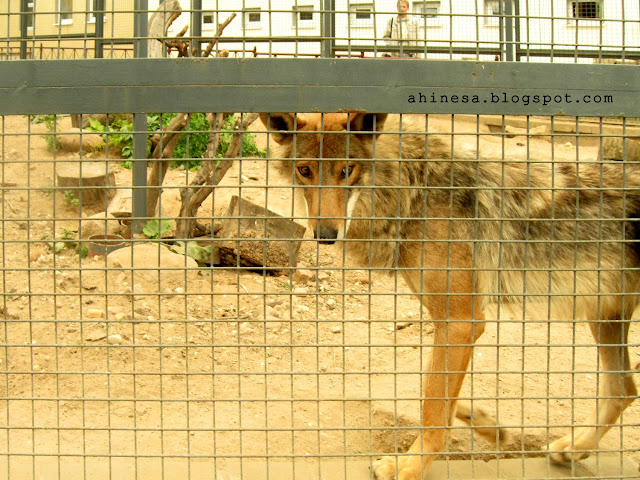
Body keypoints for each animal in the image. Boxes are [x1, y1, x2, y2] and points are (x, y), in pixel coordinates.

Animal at [258, 110, 636, 478]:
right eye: (305, 170)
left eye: (346, 170)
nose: (325, 234)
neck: (414, 188)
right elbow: (437, 396)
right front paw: (486, 424)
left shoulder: (461, 322)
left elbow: (434, 407)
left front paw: (410, 466)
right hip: (603, 315)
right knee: (624, 388)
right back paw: (571, 448)